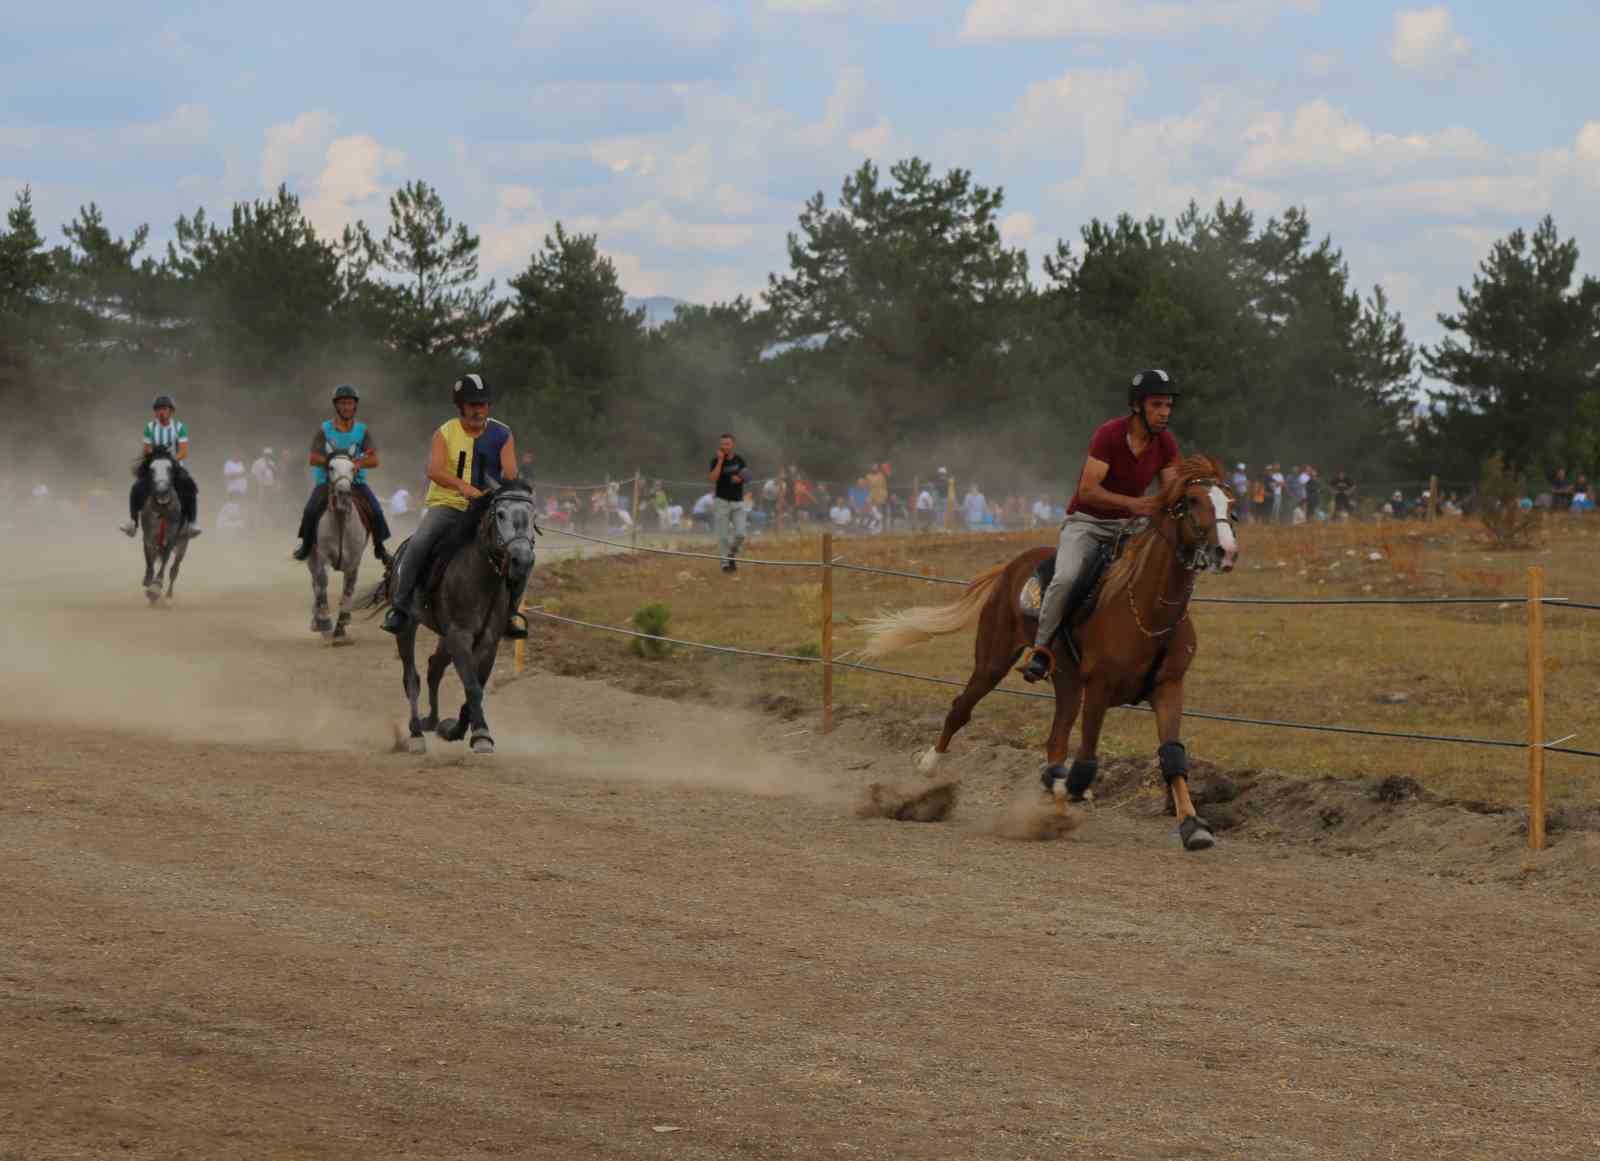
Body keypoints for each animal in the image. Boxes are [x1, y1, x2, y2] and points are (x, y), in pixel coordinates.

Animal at [137, 450, 190, 604]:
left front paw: (155, 588)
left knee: (174, 570)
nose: (162, 491)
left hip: (183, 542)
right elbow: (149, 557)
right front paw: (148, 580)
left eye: (170, 469)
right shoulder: (148, 535)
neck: (162, 509)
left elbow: (165, 558)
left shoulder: (172, 537)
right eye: (151, 470)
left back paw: (168, 596)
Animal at [305, 450, 371, 646]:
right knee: (315, 584)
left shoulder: (354, 561)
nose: (343, 493)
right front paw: (324, 623)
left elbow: (348, 590)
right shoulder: (322, 557)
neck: (341, 520)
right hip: (311, 558)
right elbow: (322, 583)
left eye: (353, 468)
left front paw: (341, 630)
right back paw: (317, 621)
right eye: (331, 467)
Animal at [366, 479, 537, 758]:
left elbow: (475, 685)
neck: (481, 576)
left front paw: (456, 729)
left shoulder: (487, 641)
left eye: (534, 517)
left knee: (434, 667)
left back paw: (433, 722)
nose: (522, 560)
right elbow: (472, 686)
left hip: (444, 636)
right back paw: (416, 734)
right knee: (411, 678)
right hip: (409, 627)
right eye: (500, 514)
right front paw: (481, 735)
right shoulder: (460, 636)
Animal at [864, 457, 1235, 857]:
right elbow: (1086, 757)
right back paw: (931, 766)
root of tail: (1011, 567)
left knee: (1055, 740)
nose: (1226, 552)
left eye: (1229, 502)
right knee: (961, 708)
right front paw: (1066, 786)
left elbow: (1172, 755)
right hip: (993, 661)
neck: (1148, 610)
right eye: (1193, 500)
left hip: (1068, 682)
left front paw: (1193, 826)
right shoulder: (1099, 687)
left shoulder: (1167, 687)